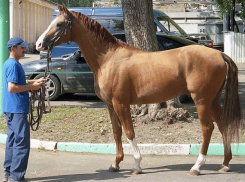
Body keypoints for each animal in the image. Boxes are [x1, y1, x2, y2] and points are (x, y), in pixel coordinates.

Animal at [35, 3, 242, 175]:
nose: (39, 45)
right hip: (213, 100)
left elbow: (129, 132)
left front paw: (136, 165)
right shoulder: (110, 105)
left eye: (59, 24)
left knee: (208, 128)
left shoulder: (121, 103)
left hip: (201, 101)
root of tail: (220, 54)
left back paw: (197, 167)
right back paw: (225, 163)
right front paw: (115, 163)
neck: (108, 59)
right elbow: (117, 132)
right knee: (223, 126)